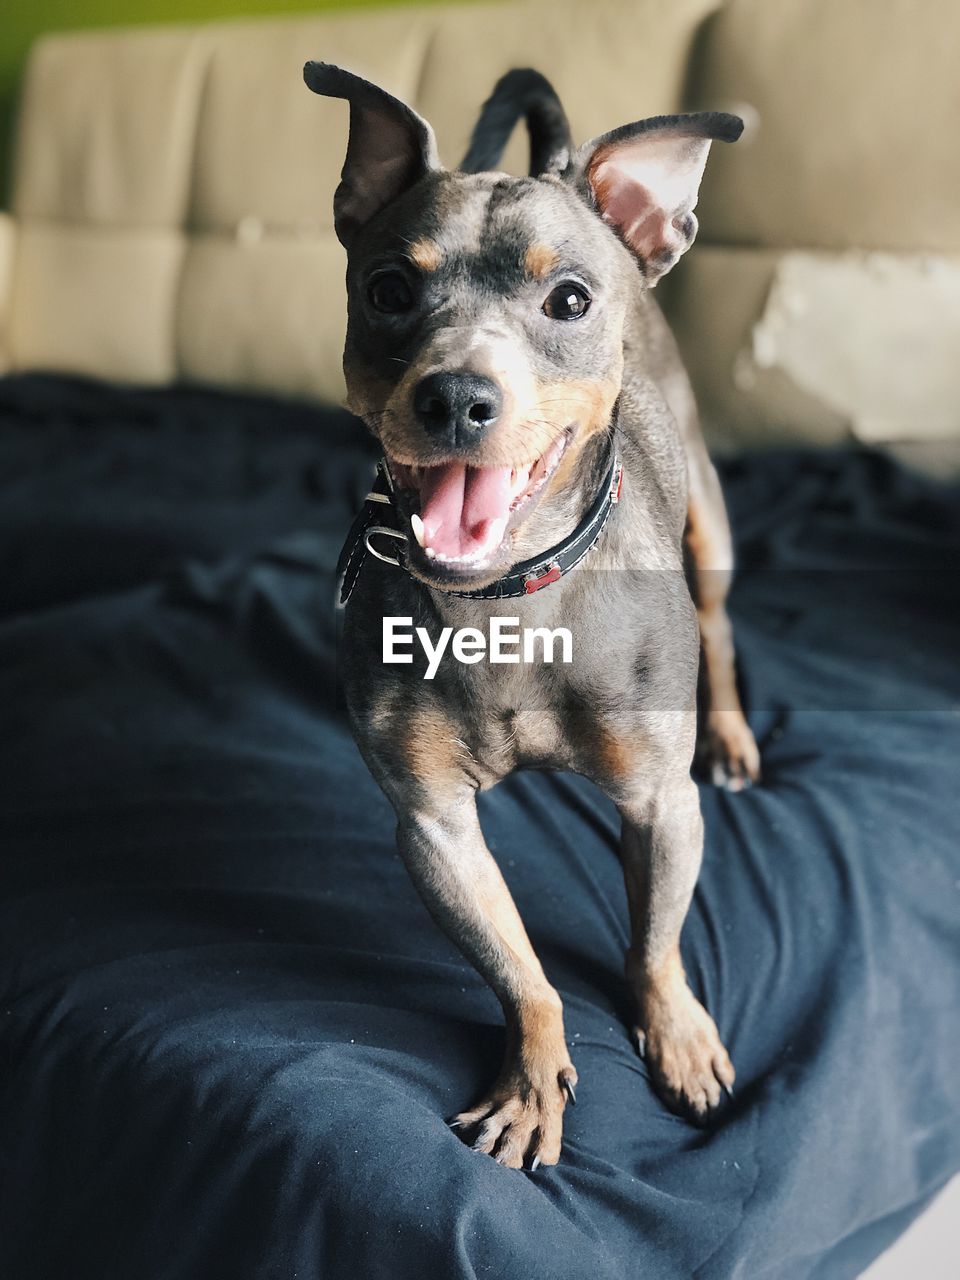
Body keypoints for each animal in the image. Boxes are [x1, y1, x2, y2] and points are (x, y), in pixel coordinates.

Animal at [304, 62, 762, 1172]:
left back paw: (732, 732)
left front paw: (678, 1033)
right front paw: (532, 1078)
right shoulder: (434, 827)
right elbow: (519, 969)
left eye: (570, 300)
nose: (456, 396)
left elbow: (655, 942)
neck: (509, 597)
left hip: (709, 524)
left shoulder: (661, 805)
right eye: (389, 290)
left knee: (722, 626)